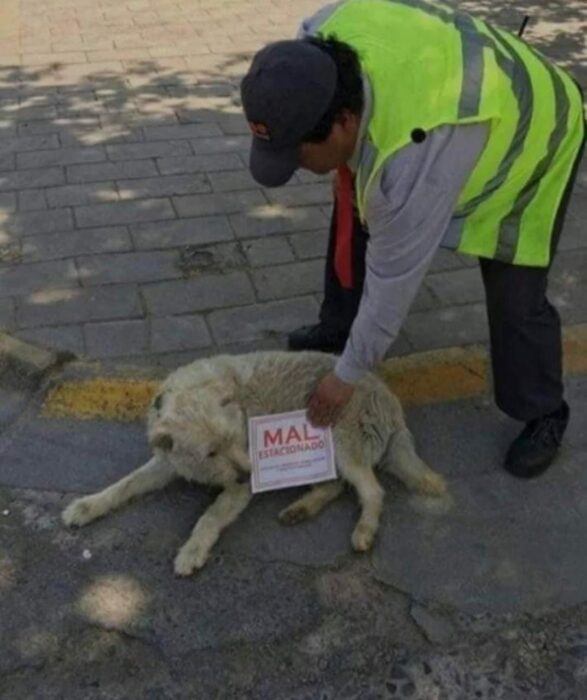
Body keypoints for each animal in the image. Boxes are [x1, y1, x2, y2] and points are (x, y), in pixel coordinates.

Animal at [63, 348, 450, 576]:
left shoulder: (237, 488)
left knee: (371, 490)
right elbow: (123, 485)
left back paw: (364, 529)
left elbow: (209, 517)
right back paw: (301, 508)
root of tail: (389, 398)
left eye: (235, 439)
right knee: (336, 485)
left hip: (342, 444)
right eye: (210, 452)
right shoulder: (166, 463)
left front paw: (192, 550)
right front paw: (87, 505)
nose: (250, 474)